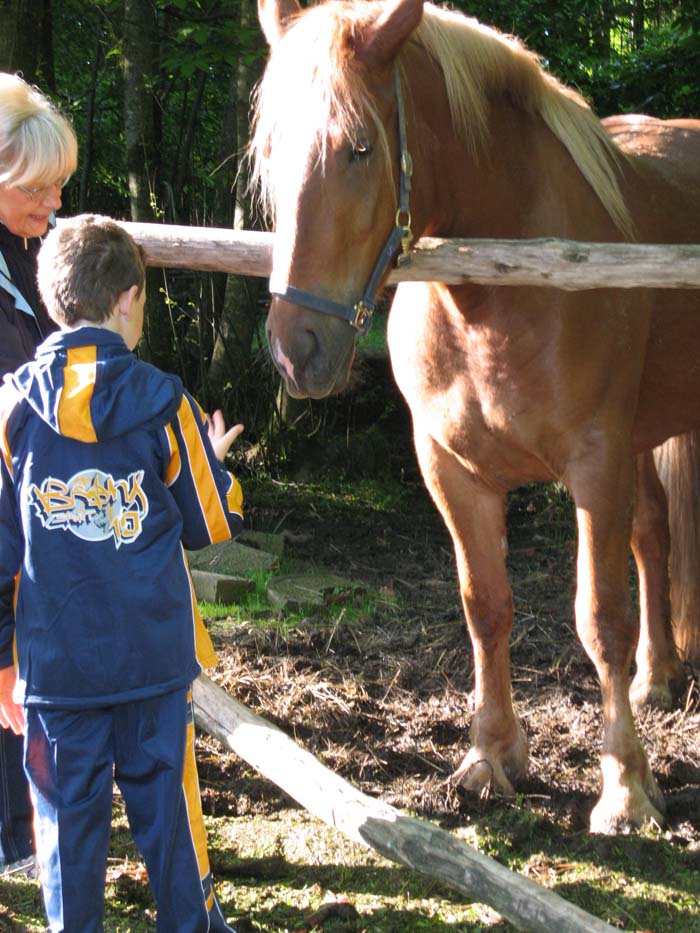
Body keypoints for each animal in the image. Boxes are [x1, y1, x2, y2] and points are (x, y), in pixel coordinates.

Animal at [254, 0, 700, 832]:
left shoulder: (595, 465)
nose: (298, 348)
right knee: (653, 537)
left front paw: (626, 787)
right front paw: (491, 757)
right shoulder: (451, 469)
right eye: (268, 151)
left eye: (360, 148)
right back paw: (658, 677)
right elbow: (485, 607)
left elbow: (601, 620)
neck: (505, 283)